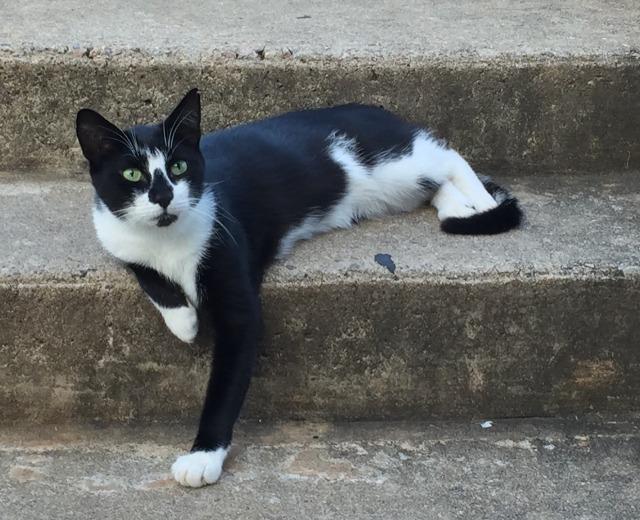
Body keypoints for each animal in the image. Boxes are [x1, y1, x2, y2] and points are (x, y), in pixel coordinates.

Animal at [77, 88, 524, 488]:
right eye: (132, 173)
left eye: (179, 166)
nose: (164, 195)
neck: (168, 239)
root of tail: (380, 110)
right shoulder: (116, 238)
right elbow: (145, 271)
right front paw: (183, 319)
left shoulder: (232, 267)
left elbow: (227, 380)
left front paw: (204, 455)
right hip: (393, 189)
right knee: (436, 184)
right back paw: (458, 205)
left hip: (396, 161)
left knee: (448, 157)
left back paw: (482, 203)